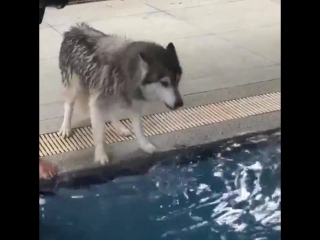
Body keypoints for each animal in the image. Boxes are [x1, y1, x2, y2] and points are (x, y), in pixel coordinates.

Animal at [57, 23, 182, 165]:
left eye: (178, 80)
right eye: (164, 83)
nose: (180, 103)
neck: (128, 74)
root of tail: (74, 29)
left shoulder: (135, 104)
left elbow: (138, 128)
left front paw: (144, 145)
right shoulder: (97, 102)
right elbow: (100, 133)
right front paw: (100, 155)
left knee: (110, 111)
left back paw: (119, 127)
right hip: (75, 88)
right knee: (69, 105)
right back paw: (66, 127)